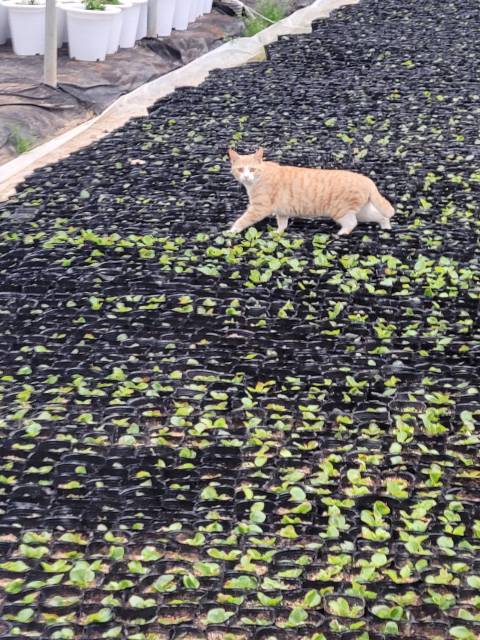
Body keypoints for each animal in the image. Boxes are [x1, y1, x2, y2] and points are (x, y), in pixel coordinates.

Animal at [228, 148, 394, 238]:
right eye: (240, 169)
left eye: (252, 169)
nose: (246, 176)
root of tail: (366, 179)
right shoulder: (282, 211)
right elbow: (282, 224)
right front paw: (278, 232)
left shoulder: (259, 208)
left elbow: (243, 220)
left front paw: (232, 231)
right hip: (362, 211)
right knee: (381, 216)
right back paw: (386, 228)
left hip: (341, 211)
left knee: (352, 223)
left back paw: (342, 233)